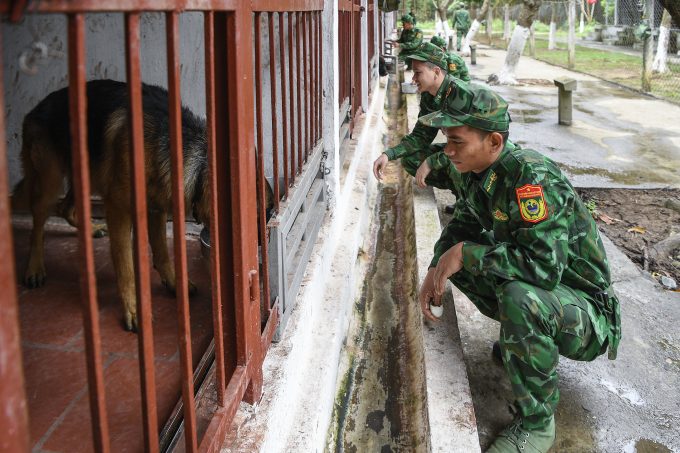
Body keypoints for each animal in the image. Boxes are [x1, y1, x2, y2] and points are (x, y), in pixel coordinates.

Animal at [11, 79, 272, 330]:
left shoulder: (156, 207)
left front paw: (173, 282)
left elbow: (162, 252)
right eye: (267, 212)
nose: (264, 244)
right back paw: (34, 267)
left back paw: (91, 230)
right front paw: (135, 310)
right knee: (38, 226)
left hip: (86, 177)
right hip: (48, 183)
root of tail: (35, 108)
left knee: (64, 208)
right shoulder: (118, 209)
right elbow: (126, 267)